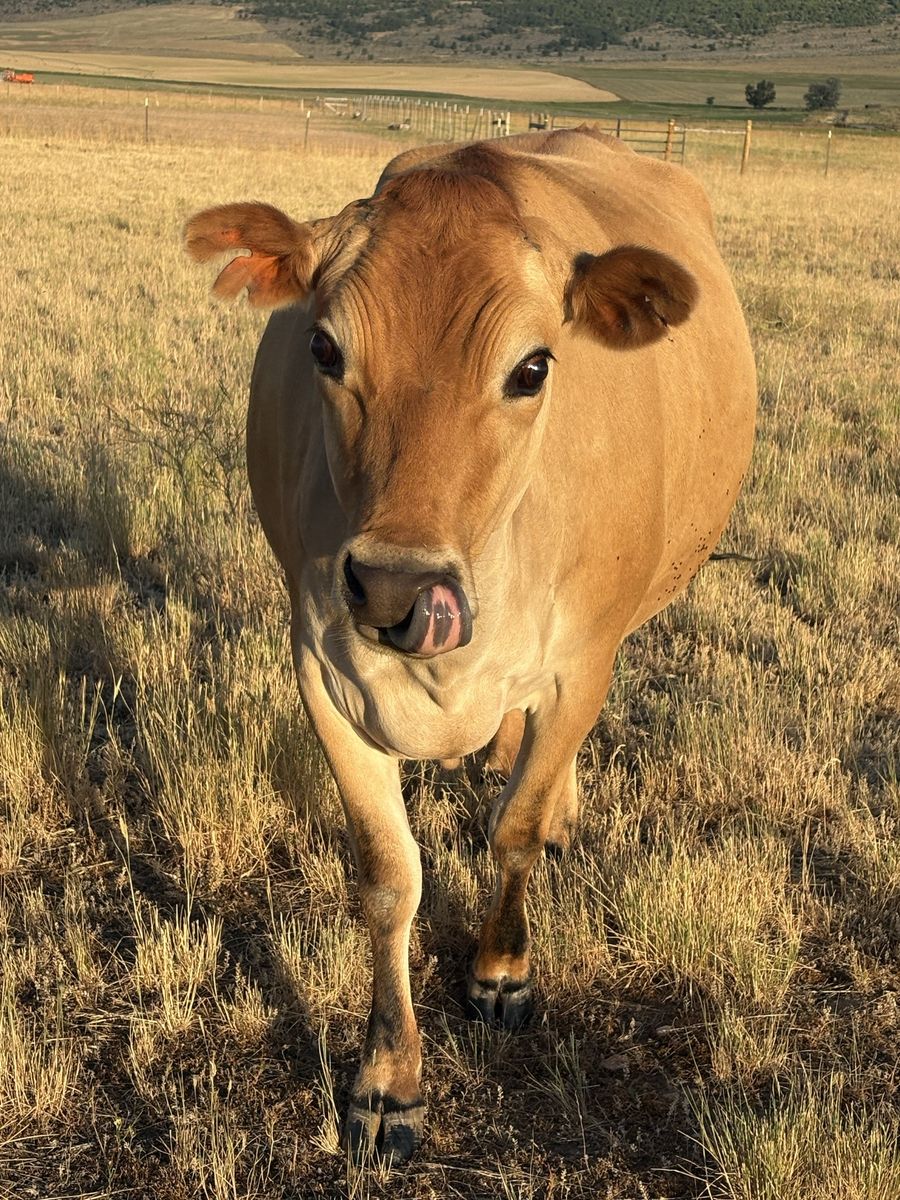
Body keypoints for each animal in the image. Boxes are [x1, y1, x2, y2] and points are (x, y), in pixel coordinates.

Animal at [184, 126, 756, 1162]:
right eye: (324, 346)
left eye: (532, 368)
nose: (397, 585)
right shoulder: (323, 671)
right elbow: (388, 875)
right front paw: (387, 1079)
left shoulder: (582, 664)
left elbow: (515, 830)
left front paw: (500, 968)